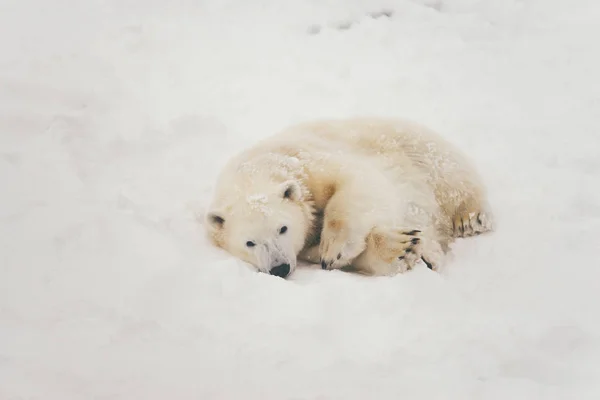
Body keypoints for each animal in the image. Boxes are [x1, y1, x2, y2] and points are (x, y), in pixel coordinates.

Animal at [204, 115, 494, 278]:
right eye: (250, 242)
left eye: (283, 228)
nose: (279, 268)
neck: (257, 168)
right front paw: (405, 250)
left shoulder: (311, 160)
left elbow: (360, 182)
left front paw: (334, 249)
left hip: (418, 149)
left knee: (450, 175)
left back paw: (470, 218)